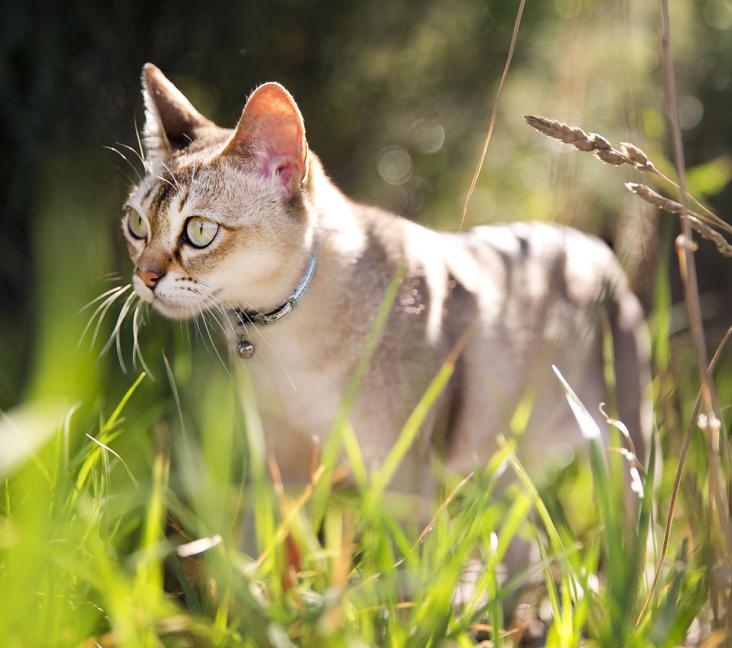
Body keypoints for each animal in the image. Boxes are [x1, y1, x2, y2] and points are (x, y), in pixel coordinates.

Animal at [124, 64, 652, 496]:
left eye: (199, 231)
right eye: (136, 224)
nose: (145, 276)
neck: (289, 346)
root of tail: (596, 246)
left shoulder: (400, 482)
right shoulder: (283, 473)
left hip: (626, 456)